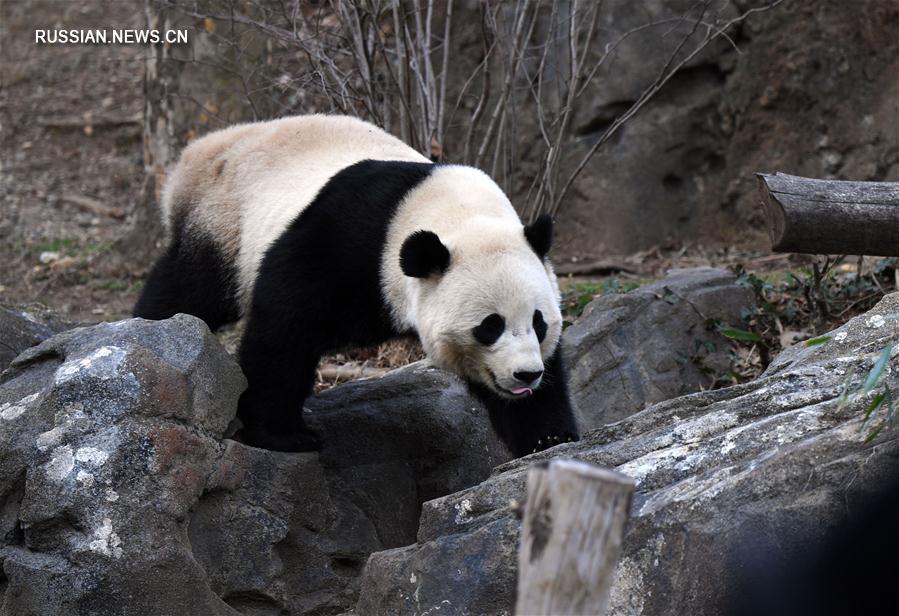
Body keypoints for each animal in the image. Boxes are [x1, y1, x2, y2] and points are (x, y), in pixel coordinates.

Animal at [137, 114, 580, 458]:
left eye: (538, 323)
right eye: (490, 326)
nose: (526, 375)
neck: (457, 215)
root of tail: (199, 151)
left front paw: (548, 440)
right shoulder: (348, 241)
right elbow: (284, 325)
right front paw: (284, 435)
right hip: (225, 218)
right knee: (192, 287)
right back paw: (153, 326)